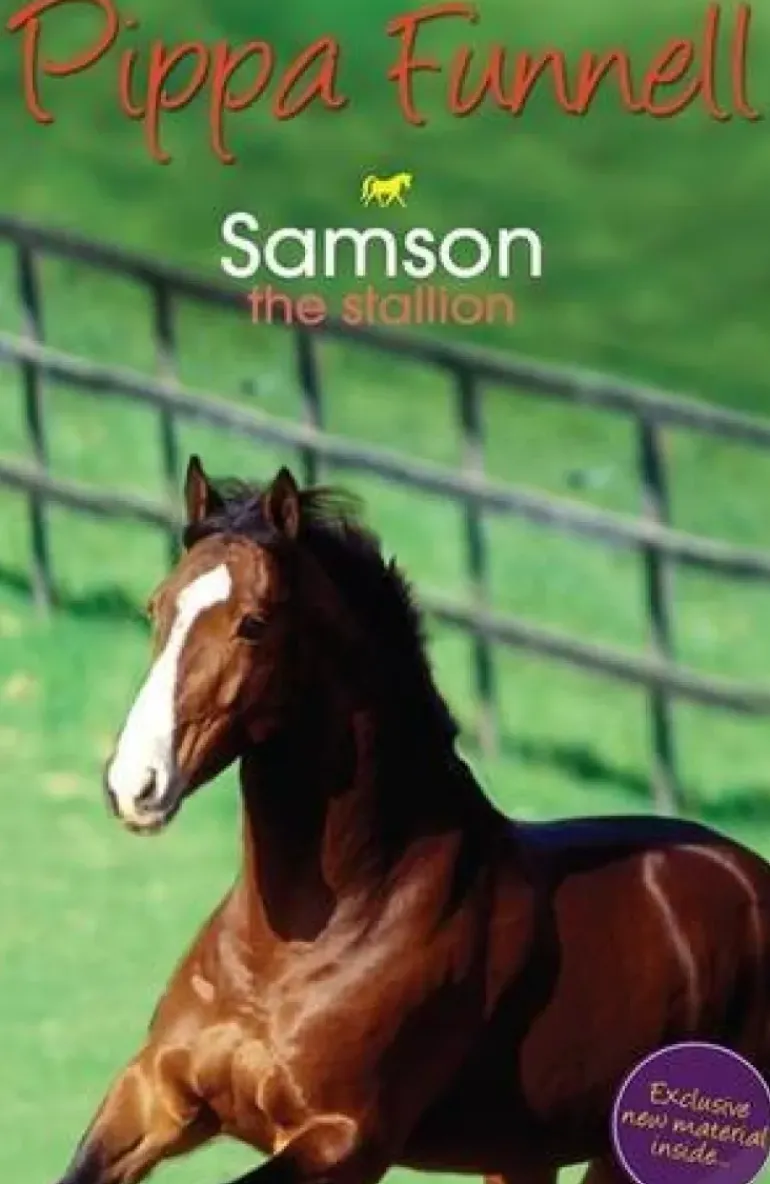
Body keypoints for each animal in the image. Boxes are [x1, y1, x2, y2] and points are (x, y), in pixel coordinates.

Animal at [56, 456, 770, 1184]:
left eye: (252, 624)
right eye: (156, 607)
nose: (135, 785)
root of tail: (749, 876)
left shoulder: (344, 1142)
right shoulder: (155, 1093)